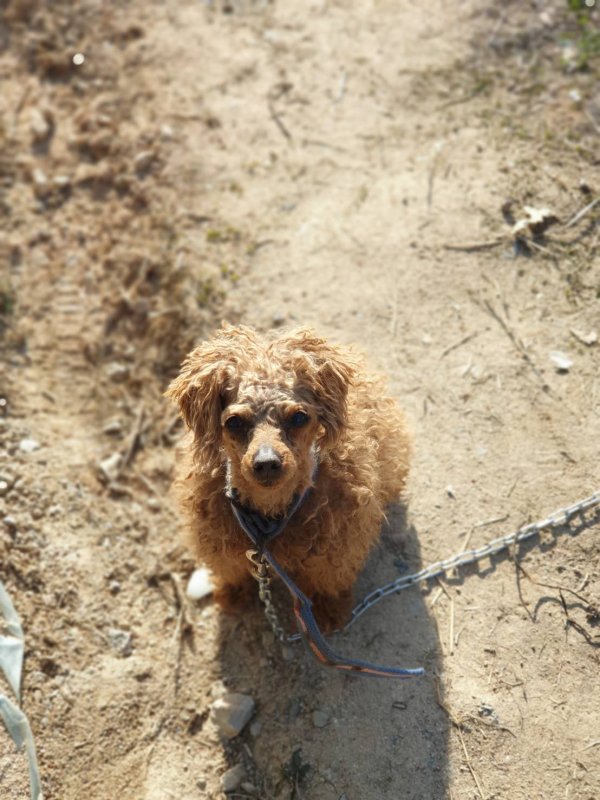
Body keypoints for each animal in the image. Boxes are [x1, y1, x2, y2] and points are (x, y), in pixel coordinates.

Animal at [165, 324, 412, 632]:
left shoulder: (335, 550)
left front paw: (328, 611)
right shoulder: (221, 544)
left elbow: (328, 580)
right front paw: (234, 594)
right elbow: (232, 570)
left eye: (299, 417)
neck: (271, 511)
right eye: (233, 422)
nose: (267, 463)